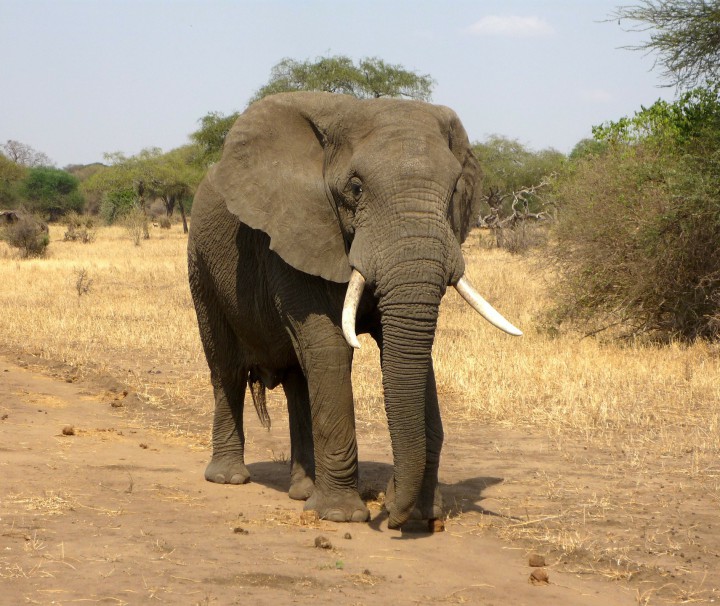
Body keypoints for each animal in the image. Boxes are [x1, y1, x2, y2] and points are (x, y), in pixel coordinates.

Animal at [188, 91, 520, 532]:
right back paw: (229, 478)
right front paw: (341, 516)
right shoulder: (298, 232)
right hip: (200, 264)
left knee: (298, 378)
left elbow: (407, 352)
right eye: (356, 187)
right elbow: (331, 347)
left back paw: (302, 491)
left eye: (453, 191)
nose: (392, 514)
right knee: (225, 367)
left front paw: (420, 514)